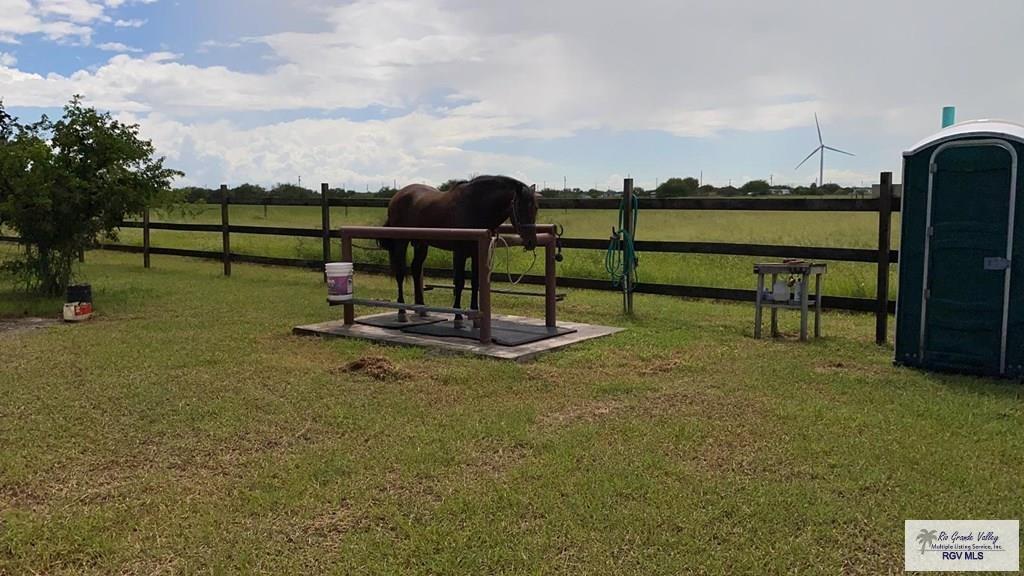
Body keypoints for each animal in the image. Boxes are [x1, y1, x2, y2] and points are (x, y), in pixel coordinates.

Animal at [380, 172, 540, 323]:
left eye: (536, 208)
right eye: (520, 208)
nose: (531, 242)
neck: (474, 206)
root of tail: (396, 197)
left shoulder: (476, 253)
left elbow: (475, 282)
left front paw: (475, 313)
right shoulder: (460, 253)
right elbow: (459, 282)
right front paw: (458, 316)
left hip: (421, 243)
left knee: (415, 269)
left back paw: (422, 309)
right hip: (401, 243)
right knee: (400, 273)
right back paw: (402, 312)